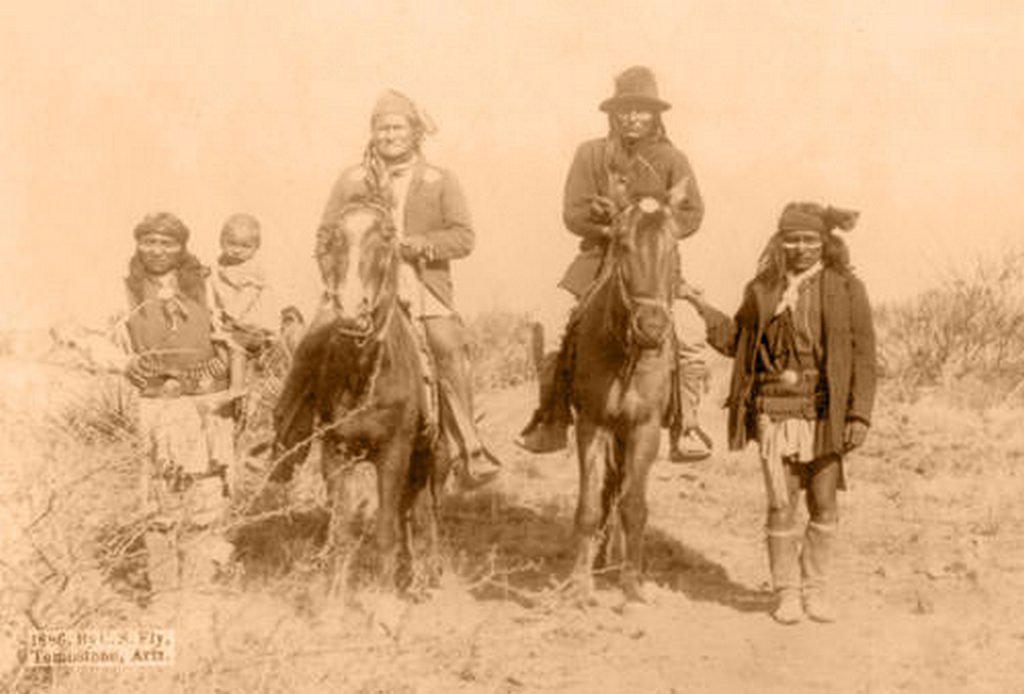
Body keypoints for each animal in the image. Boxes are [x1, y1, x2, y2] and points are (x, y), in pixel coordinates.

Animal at [569, 195, 679, 601]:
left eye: (673, 247)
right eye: (623, 244)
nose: (652, 328)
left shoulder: (644, 428)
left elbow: (634, 506)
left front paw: (632, 583)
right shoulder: (592, 423)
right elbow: (588, 505)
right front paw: (578, 582)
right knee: (607, 492)